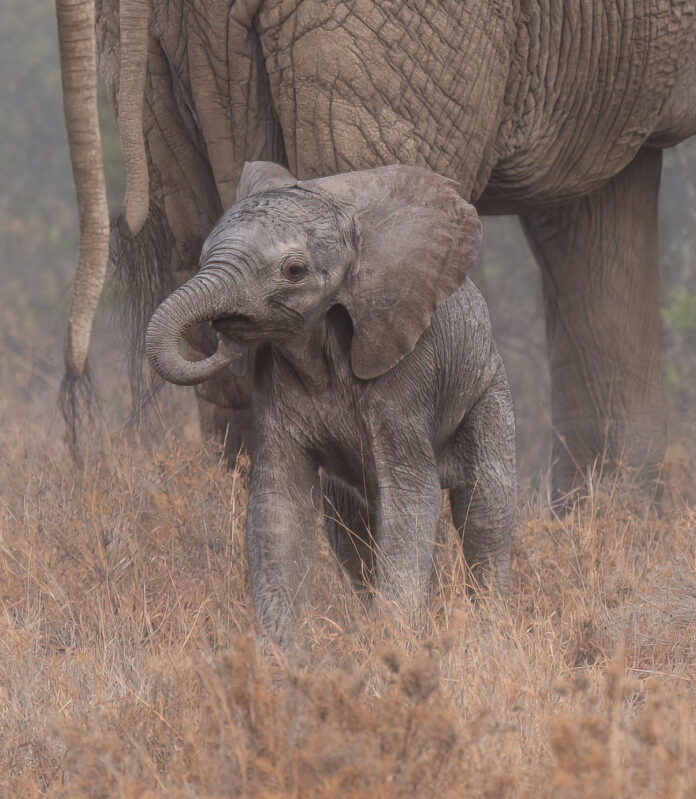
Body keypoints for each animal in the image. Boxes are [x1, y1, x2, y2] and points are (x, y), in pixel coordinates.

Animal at [145, 162, 517, 643]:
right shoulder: (274, 381)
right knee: (348, 526)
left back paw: (491, 631)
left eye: (294, 270)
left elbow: (412, 495)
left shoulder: (406, 371)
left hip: (487, 387)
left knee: (485, 504)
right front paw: (284, 650)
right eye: (203, 254)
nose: (226, 330)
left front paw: (395, 641)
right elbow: (278, 503)